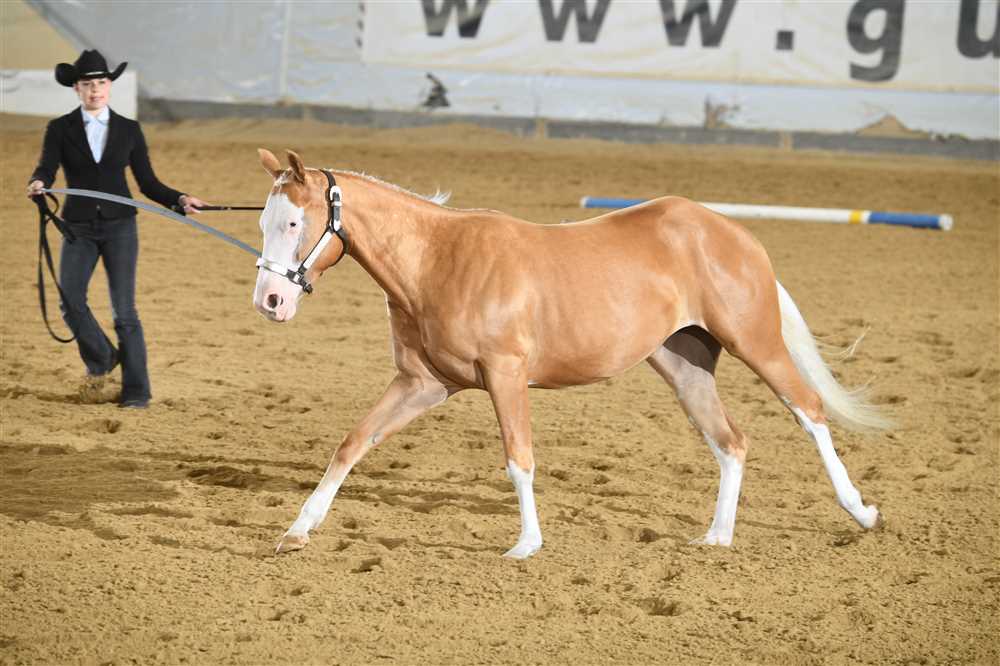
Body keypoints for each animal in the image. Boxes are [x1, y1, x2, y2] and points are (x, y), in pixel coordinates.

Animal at [252, 148, 890, 559]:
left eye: (294, 221)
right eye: (263, 221)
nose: (270, 300)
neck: (437, 260)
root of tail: (735, 233)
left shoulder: (506, 375)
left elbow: (519, 457)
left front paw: (527, 544)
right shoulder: (421, 384)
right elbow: (352, 443)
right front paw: (298, 530)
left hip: (755, 342)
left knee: (809, 410)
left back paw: (860, 512)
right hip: (683, 364)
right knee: (731, 441)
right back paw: (718, 537)